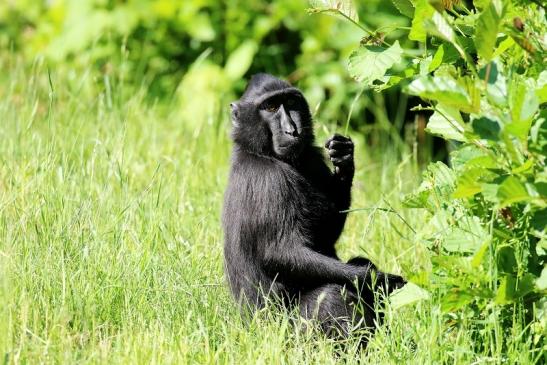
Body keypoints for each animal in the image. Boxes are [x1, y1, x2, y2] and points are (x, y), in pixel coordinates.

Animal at [223, 74, 406, 338]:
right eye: (270, 107)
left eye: (290, 102)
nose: (291, 130)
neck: (261, 153)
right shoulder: (269, 181)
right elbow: (281, 252)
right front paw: (376, 279)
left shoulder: (312, 158)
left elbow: (325, 233)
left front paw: (344, 157)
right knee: (330, 295)